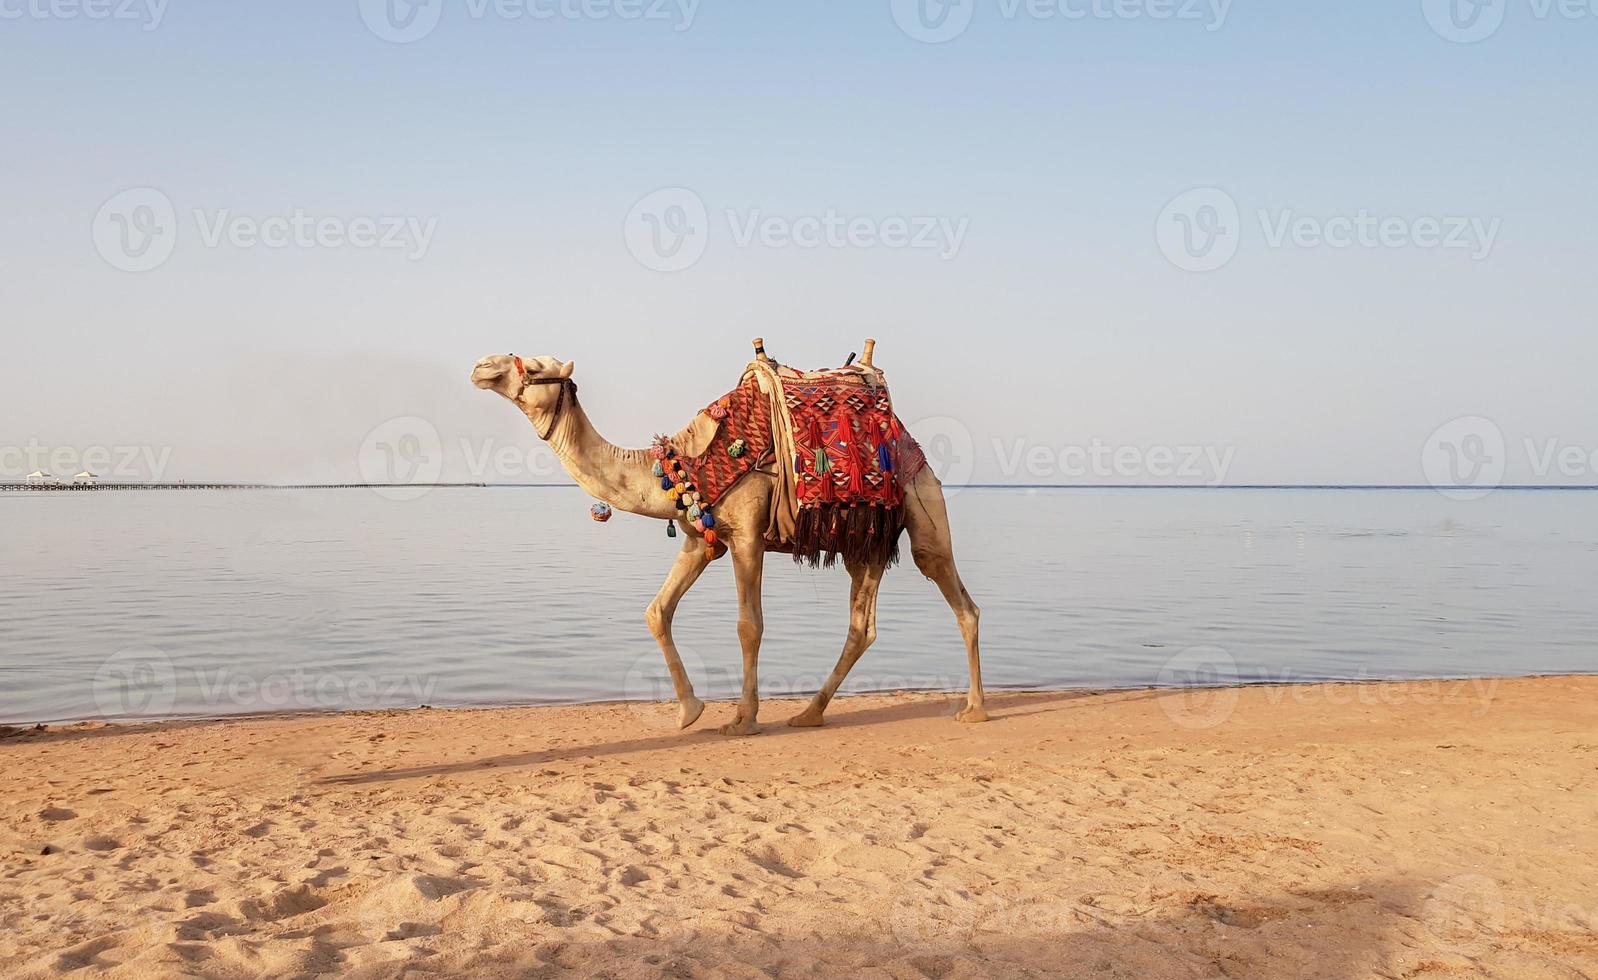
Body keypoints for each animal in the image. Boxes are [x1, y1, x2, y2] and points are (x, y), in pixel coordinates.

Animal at [466, 343, 984, 735]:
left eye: (534, 367)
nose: (481, 365)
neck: (684, 465)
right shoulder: (702, 540)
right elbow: (657, 611)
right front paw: (688, 711)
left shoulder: (749, 536)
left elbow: (748, 626)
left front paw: (742, 720)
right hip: (867, 540)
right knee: (862, 627)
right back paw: (809, 713)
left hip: (921, 503)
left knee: (956, 595)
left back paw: (974, 707)